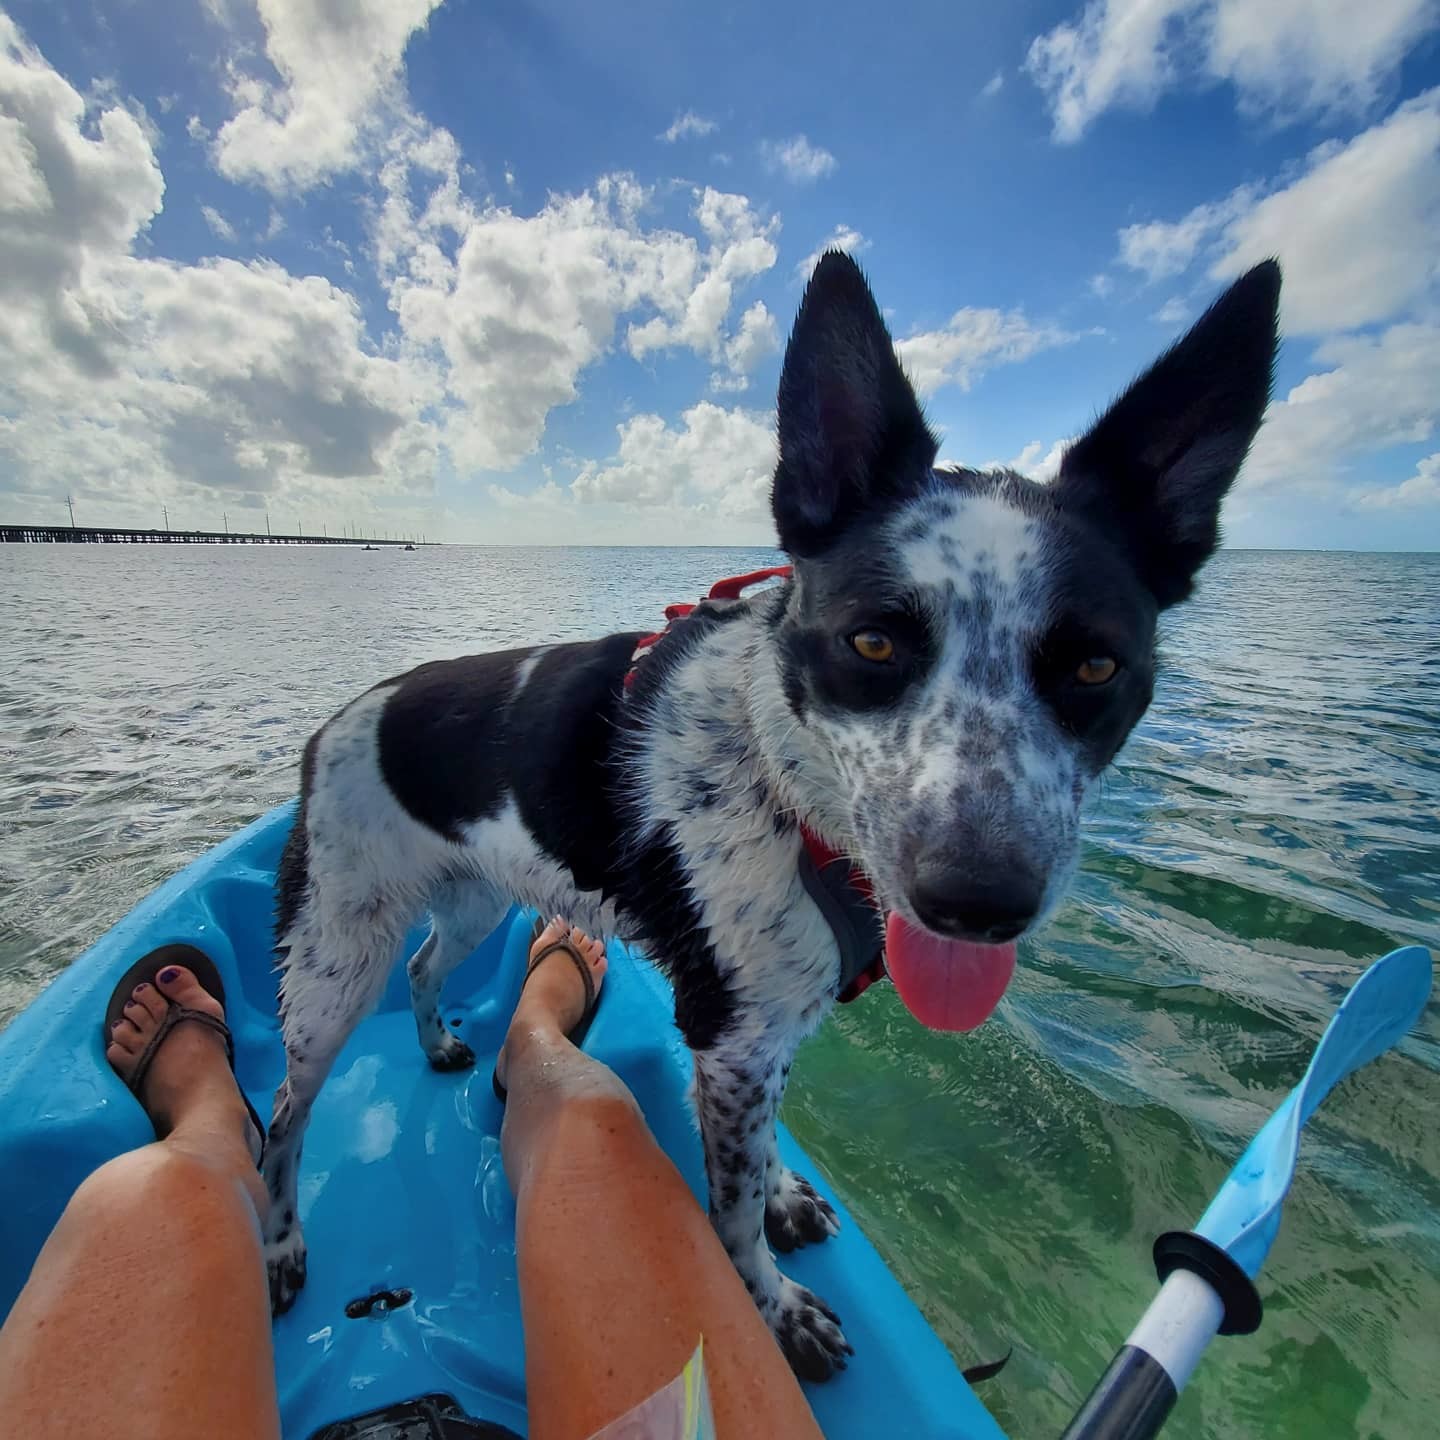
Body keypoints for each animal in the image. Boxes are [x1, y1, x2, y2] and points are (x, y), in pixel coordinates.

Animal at [264, 253, 1278, 1376]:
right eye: (872, 643)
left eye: (1097, 666)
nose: (977, 903)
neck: (788, 790)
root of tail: (338, 721)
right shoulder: (733, 1027)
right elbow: (731, 1211)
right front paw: (774, 1309)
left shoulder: (768, 1031)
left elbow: (763, 1155)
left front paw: (788, 1196)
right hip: (331, 963)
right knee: (279, 1121)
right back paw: (278, 1248)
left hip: (473, 902)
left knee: (424, 968)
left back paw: (442, 1045)